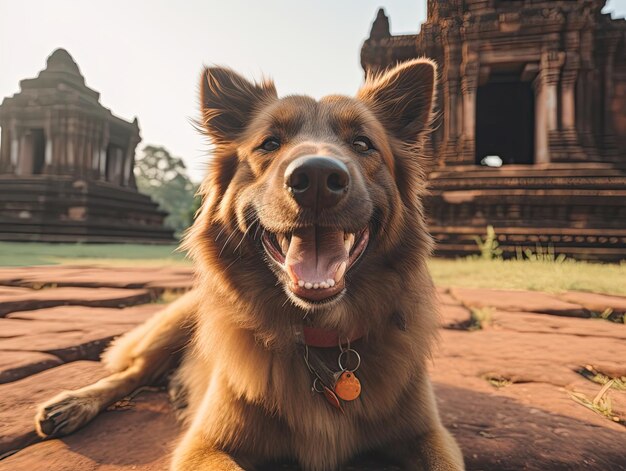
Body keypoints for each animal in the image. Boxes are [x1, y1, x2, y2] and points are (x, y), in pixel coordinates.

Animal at [35, 59, 464, 471]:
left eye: (362, 143)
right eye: (269, 143)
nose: (317, 178)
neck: (319, 338)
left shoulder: (429, 434)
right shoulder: (204, 446)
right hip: (176, 321)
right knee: (132, 373)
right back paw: (73, 403)